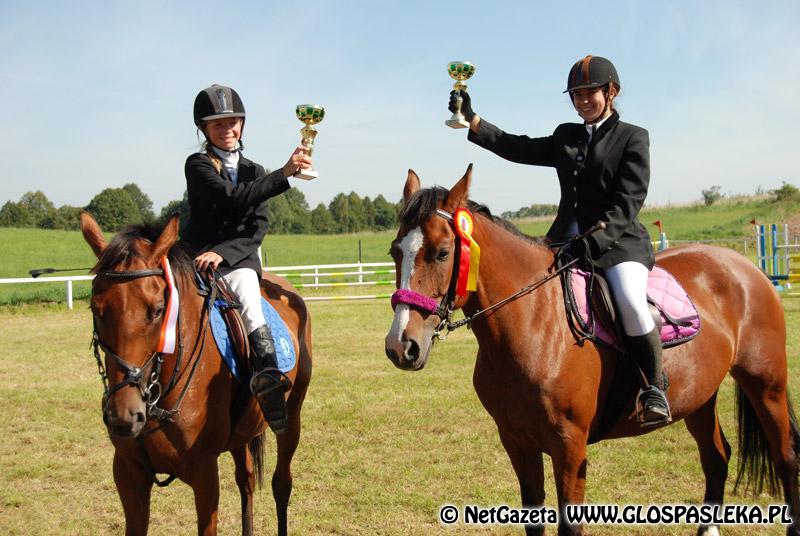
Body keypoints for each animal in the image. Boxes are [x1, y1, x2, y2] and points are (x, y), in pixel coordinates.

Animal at [80, 212, 312, 536]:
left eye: (158, 310)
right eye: (95, 308)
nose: (123, 416)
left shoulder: (204, 473)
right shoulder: (128, 472)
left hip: (292, 418)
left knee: (282, 484)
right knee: (247, 481)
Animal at [384, 165, 800, 535]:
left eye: (442, 252)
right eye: (394, 252)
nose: (401, 346)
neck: (534, 321)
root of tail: (745, 267)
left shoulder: (569, 445)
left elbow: (570, 524)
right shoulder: (516, 441)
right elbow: (533, 520)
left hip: (766, 385)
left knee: (786, 457)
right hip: (699, 397)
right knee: (716, 458)